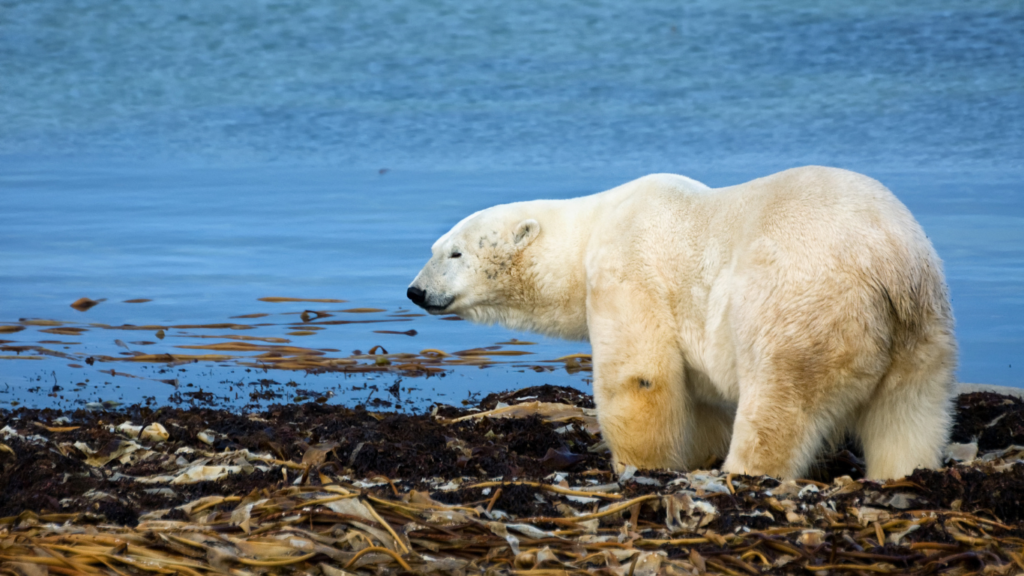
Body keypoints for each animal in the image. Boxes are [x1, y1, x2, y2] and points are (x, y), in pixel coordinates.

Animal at [403, 165, 954, 475]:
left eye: (453, 252)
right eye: (434, 249)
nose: (415, 291)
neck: (592, 227)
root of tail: (887, 262)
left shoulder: (629, 268)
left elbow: (640, 376)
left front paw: (639, 467)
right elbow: (702, 396)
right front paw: (694, 452)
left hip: (802, 304)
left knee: (780, 401)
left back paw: (743, 473)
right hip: (921, 326)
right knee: (909, 412)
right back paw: (906, 472)